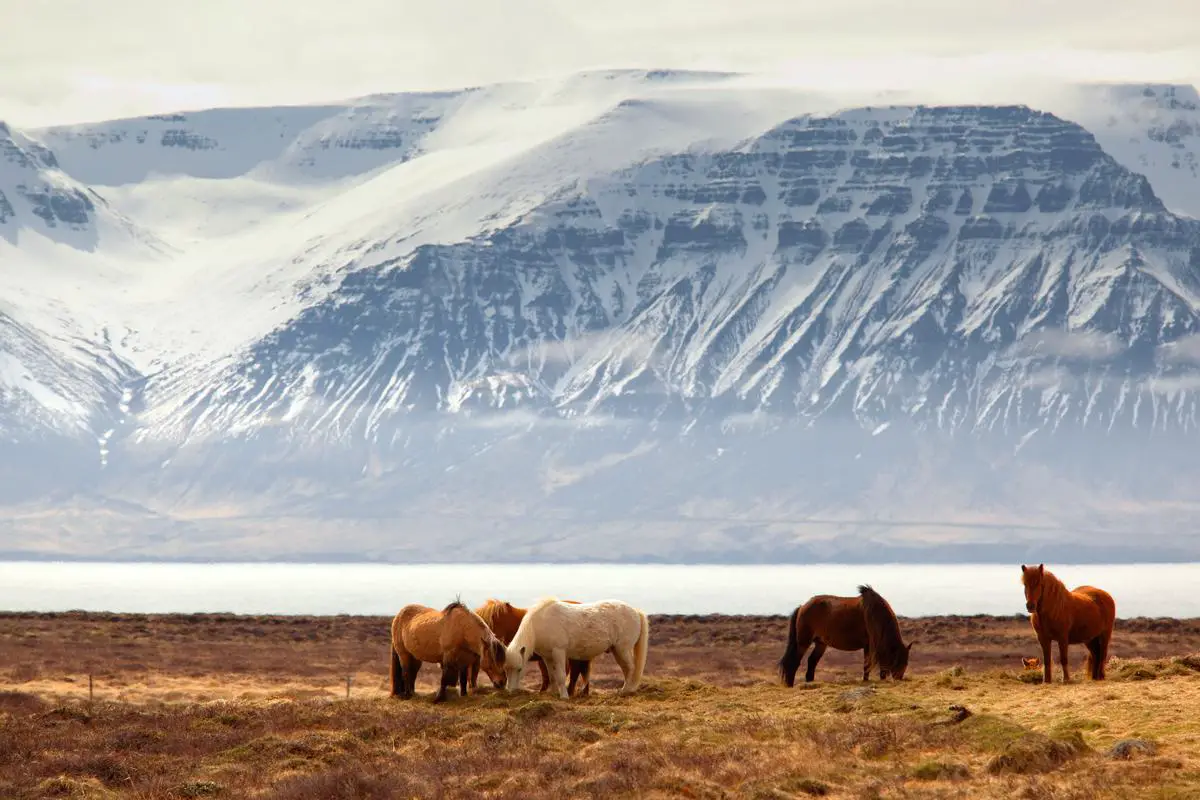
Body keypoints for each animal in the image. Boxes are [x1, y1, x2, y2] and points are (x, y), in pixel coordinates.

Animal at [508, 597, 657, 695]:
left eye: (520, 669)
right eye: (506, 669)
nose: (510, 691)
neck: (539, 622)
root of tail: (636, 611)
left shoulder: (558, 652)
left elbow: (561, 675)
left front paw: (564, 697)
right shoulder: (547, 657)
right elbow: (552, 676)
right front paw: (554, 694)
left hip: (623, 650)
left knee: (630, 668)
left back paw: (626, 690)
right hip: (618, 651)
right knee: (626, 669)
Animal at [777, 582, 916, 690]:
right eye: (899, 661)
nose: (899, 679)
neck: (877, 614)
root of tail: (802, 607)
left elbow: (869, 666)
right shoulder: (871, 645)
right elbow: (868, 665)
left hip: (821, 643)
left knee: (811, 662)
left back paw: (809, 683)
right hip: (803, 642)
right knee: (795, 661)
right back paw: (790, 685)